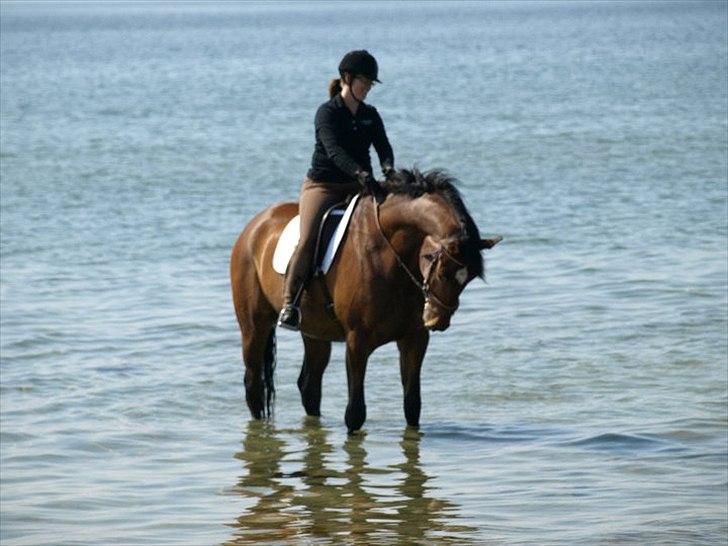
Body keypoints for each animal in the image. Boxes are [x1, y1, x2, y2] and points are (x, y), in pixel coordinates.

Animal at [233, 168, 500, 432]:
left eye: (469, 279)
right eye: (443, 272)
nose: (437, 320)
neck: (388, 254)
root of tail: (254, 225)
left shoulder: (414, 339)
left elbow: (412, 406)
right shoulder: (357, 342)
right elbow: (355, 413)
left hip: (315, 331)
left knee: (309, 386)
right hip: (254, 327)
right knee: (253, 383)